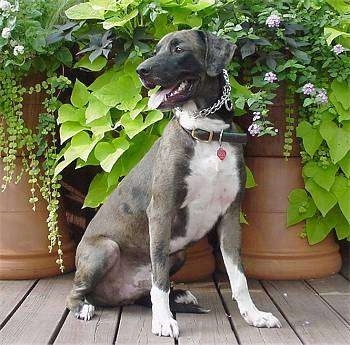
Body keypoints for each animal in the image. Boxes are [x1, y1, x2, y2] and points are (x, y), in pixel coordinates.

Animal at [66, 28, 282, 336]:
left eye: (178, 49)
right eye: (156, 50)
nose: (141, 71)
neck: (207, 134)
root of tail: (115, 296)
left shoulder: (230, 216)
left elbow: (238, 276)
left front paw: (253, 315)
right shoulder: (161, 212)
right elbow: (159, 279)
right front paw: (163, 321)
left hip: (178, 254)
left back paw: (178, 294)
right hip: (106, 248)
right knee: (77, 290)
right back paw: (83, 307)